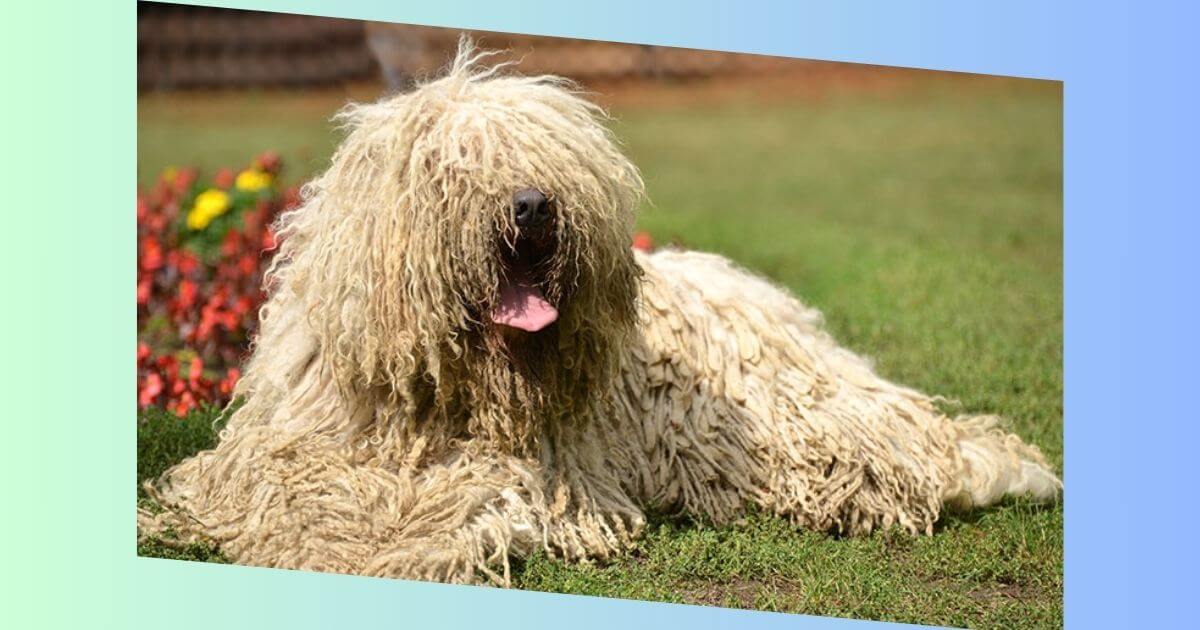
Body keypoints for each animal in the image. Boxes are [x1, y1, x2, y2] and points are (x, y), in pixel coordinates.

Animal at [138, 42, 1060, 585]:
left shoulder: (525, 472)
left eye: (554, 163)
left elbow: (448, 505)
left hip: (803, 429)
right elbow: (279, 481)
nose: (533, 205)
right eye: (454, 166)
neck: (448, 395)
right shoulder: (287, 442)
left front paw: (390, 541)